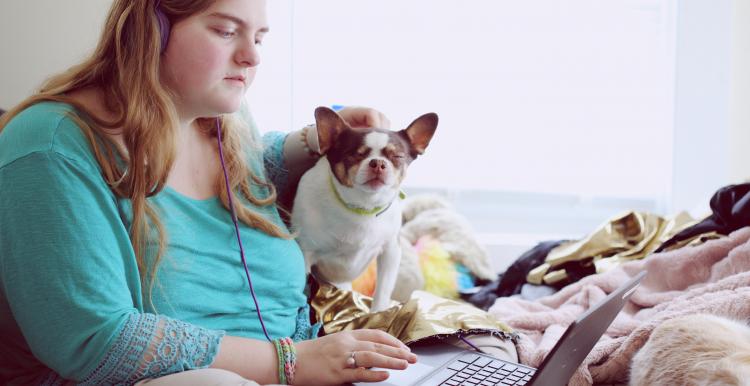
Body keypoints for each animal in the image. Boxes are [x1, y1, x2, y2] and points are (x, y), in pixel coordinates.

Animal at [290, 107, 438, 312]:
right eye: (355, 154)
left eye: (397, 157)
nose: (378, 163)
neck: (363, 208)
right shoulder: (307, 253)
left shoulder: (391, 252)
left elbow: (383, 290)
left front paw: (377, 314)